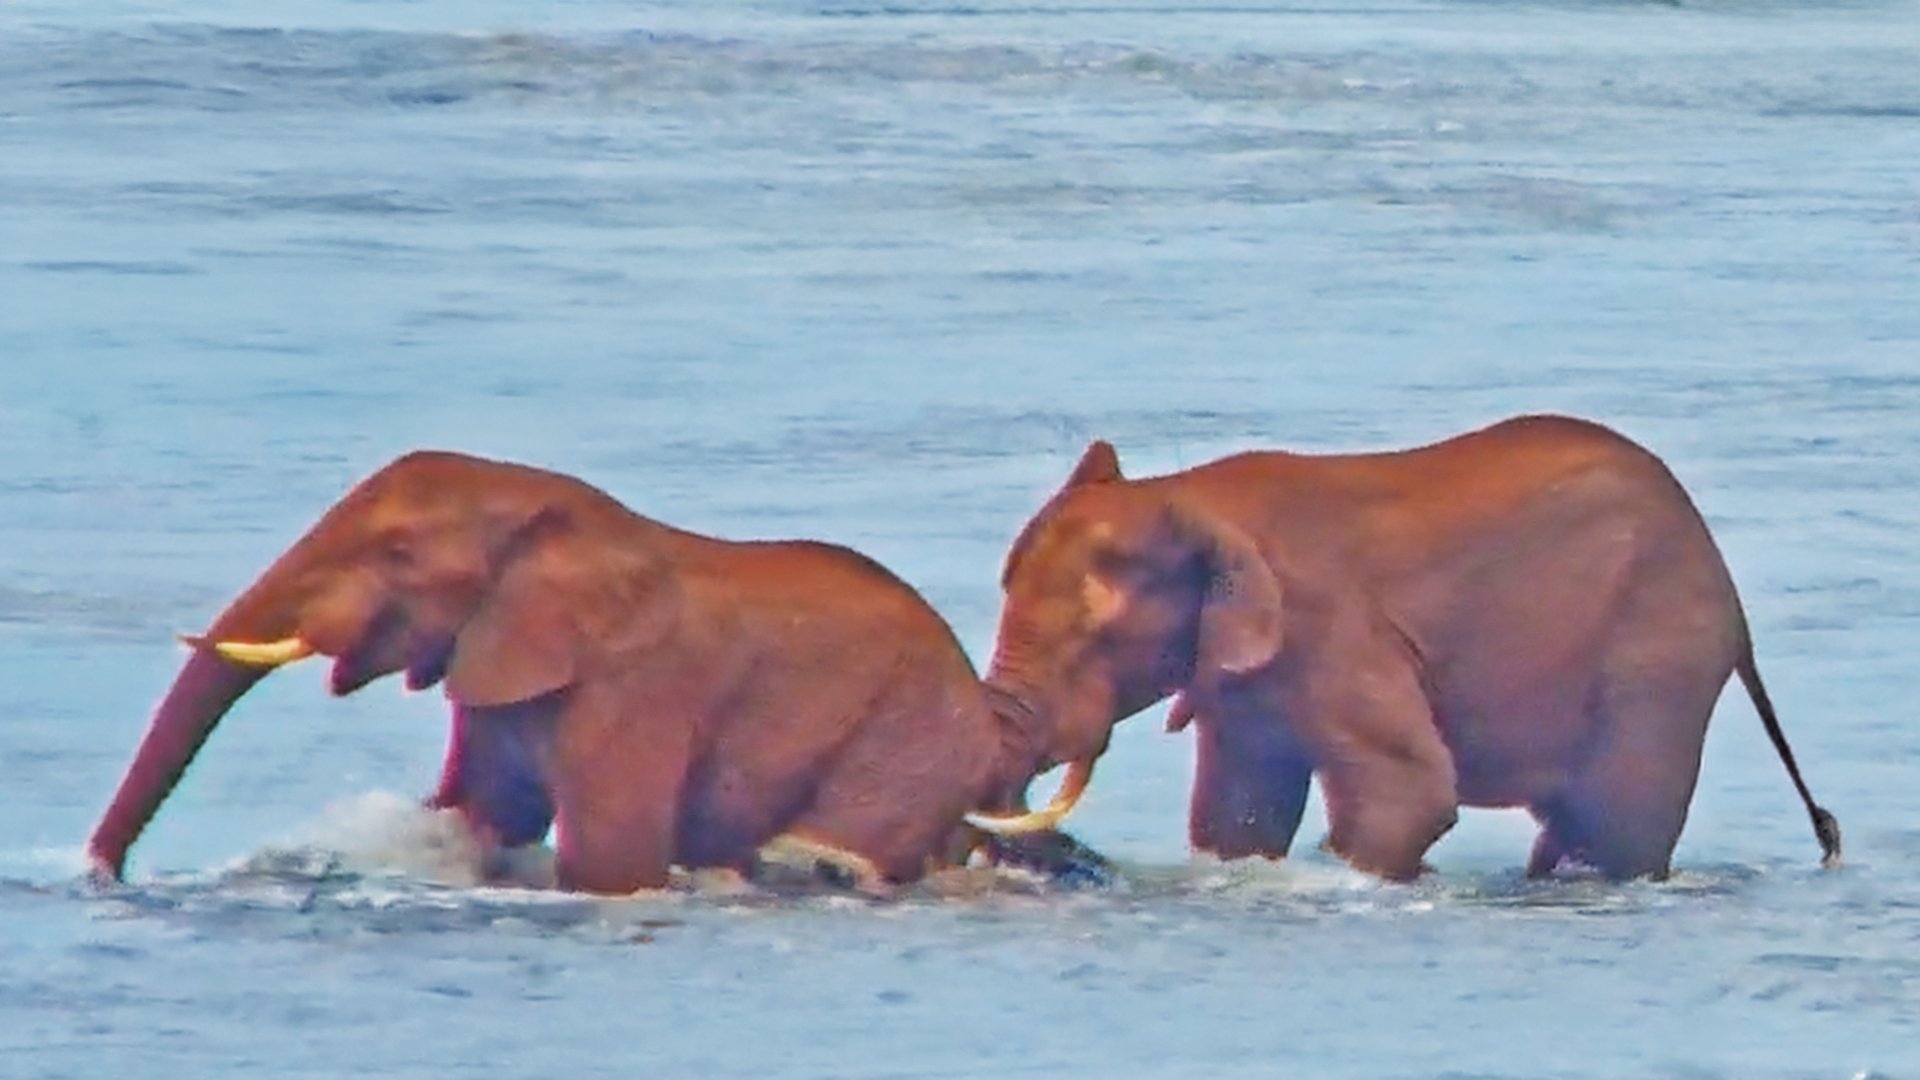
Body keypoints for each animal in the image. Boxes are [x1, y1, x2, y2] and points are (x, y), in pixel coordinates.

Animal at [86, 450, 1095, 896]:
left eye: (399, 553)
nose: (105, 875)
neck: (555, 510)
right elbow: (485, 816)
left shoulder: (637, 691)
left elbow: (610, 857)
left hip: (900, 743)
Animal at [967, 414, 1841, 882]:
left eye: (1097, 637)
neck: (1192, 493)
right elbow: (1238, 811)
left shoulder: (1334, 628)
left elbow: (1409, 795)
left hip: (1659, 654)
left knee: (1613, 828)